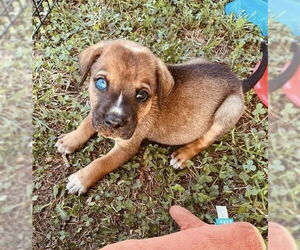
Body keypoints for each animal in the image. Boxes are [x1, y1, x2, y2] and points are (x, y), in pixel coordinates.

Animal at [55, 39, 268, 195]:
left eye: (142, 95)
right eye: (100, 83)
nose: (114, 123)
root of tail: (238, 82)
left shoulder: (127, 147)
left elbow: (102, 162)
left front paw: (81, 179)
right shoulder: (97, 112)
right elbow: (88, 121)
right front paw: (71, 139)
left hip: (229, 109)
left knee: (206, 139)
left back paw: (183, 155)